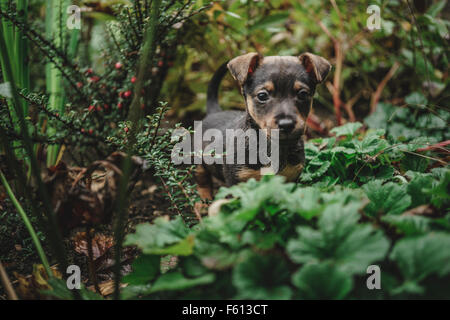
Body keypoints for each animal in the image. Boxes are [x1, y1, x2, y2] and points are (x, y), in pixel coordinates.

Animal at [195, 52, 332, 199]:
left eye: (303, 94)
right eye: (262, 96)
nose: (287, 124)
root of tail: (214, 111)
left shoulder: (290, 180)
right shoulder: (236, 183)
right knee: (201, 176)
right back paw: (204, 197)